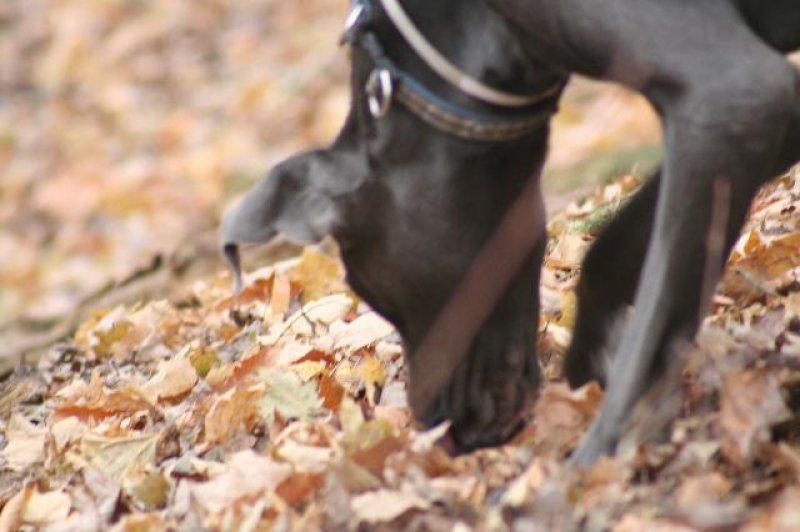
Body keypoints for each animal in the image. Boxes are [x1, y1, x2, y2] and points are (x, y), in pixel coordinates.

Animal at [221, 0, 800, 466]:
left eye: (370, 290)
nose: (439, 433)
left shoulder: (732, 96)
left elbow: (654, 319)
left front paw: (591, 465)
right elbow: (612, 248)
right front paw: (593, 353)